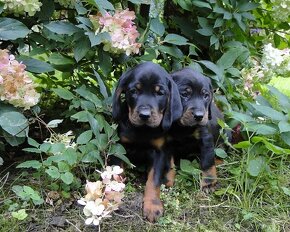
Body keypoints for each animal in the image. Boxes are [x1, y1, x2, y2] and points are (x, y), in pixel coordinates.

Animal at [111, 61, 181, 221]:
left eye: (160, 93)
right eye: (134, 91)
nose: (144, 115)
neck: (143, 130)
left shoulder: (159, 151)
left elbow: (153, 180)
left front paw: (153, 205)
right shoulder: (119, 147)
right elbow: (116, 173)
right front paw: (114, 194)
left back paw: (168, 178)